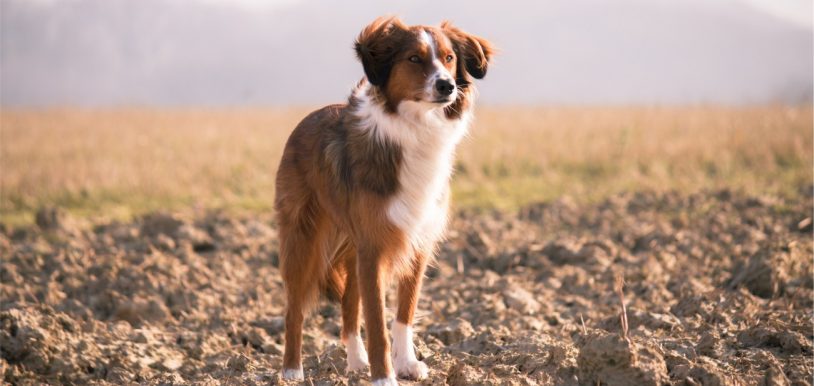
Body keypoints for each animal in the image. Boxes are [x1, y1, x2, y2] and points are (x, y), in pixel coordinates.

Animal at [274, 16, 494, 384]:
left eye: (449, 58)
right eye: (414, 59)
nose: (447, 86)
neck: (416, 127)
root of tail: (305, 121)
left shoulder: (416, 242)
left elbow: (404, 313)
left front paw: (407, 364)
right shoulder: (373, 246)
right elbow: (377, 319)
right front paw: (383, 376)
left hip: (352, 246)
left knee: (349, 303)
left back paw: (355, 362)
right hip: (303, 239)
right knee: (295, 308)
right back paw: (292, 369)